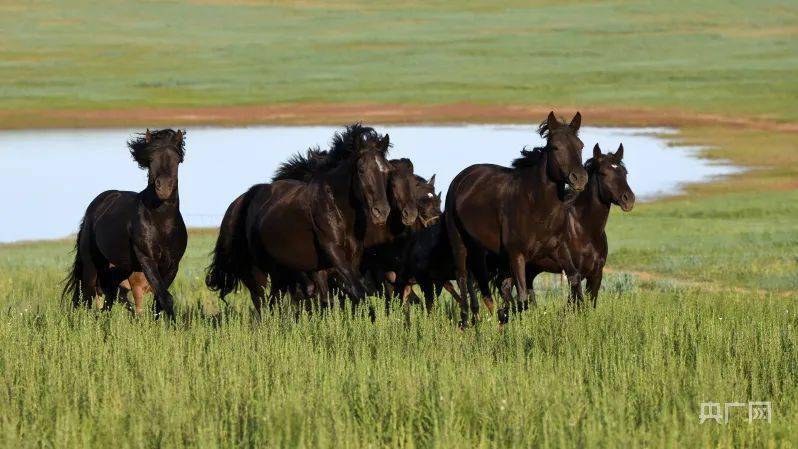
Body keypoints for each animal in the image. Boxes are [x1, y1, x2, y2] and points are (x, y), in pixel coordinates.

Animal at [63, 129, 188, 319]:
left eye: (177, 159)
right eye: (151, 159)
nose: (164, 187)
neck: (162, 223)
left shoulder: (172, 264)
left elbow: (159, 300)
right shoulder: (147, 259)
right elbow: (165, 297)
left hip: (122, 267)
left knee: (110, 294)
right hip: (92, 264)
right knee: (88, 296)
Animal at [205, 124, 392, 318]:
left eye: (386, 170)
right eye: (361, 170)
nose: (381, 211)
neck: (337, 208)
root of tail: (241, 201)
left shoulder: (345, 260)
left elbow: (338, 297)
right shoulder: (333, 252)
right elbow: (357, 291)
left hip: (279, 271)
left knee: (274, 300)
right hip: (256, 270)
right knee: (261, 303)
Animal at [444, 111, 588, 326]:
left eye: (580, 145)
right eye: (555, 147)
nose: (579, 178)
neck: (537, 207)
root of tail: (461, 177)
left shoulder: (558, 249)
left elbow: (575, 279)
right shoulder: (517, 255)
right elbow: (522, 298)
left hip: (480, 248)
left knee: (480, 281)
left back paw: (484, 317)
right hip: (459, 242)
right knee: (462, 276)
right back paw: (466, 321)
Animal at [495, 143, 635, 308]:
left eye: (624, 172)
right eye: (603, 173)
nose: (628, 199)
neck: (585, 230)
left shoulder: (596, 274)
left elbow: (589, 305)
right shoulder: (573, 274)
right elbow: (575, 305)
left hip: (531, 267)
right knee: (505, 288)